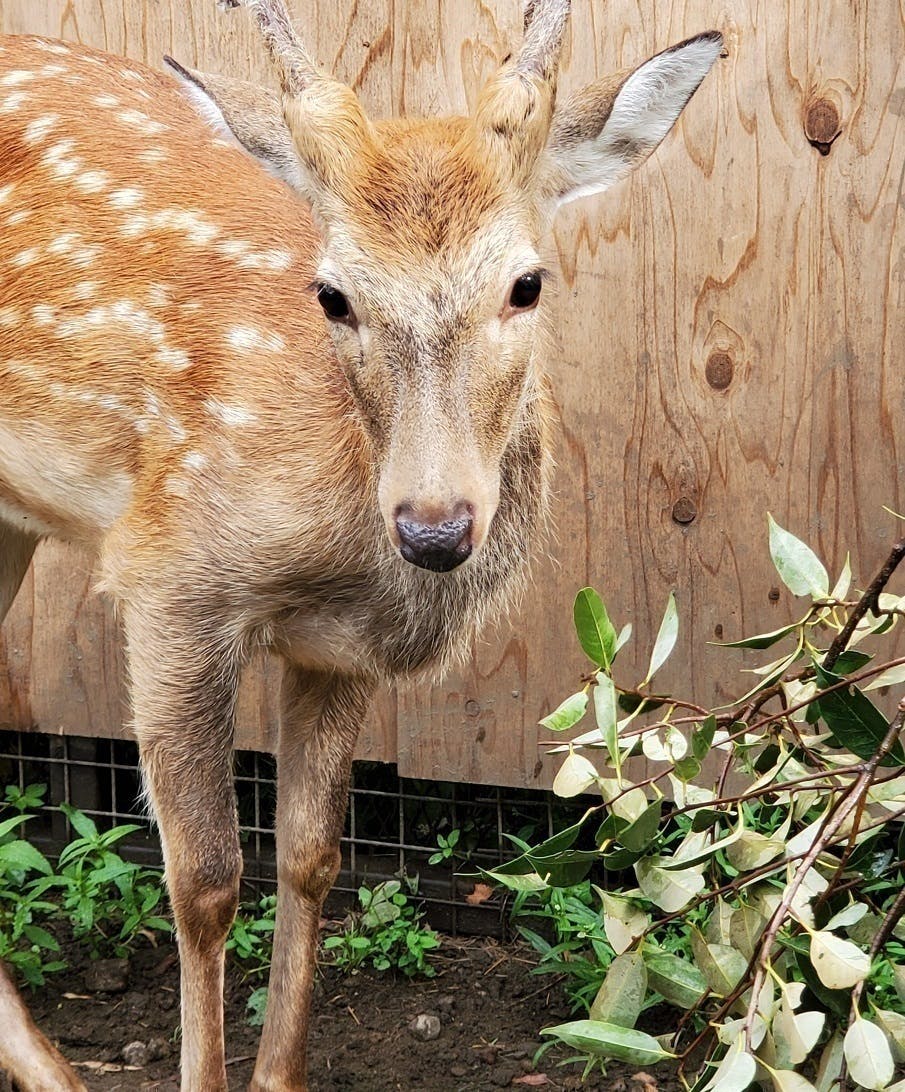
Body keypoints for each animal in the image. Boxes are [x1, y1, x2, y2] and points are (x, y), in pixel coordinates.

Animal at [0, 0, 720, 1087]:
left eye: (526, 282)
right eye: (333, 295)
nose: (434, 525)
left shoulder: (337, 645)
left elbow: (311, 856)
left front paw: (279, 1072)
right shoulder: (167, 579)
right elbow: (206, 880)